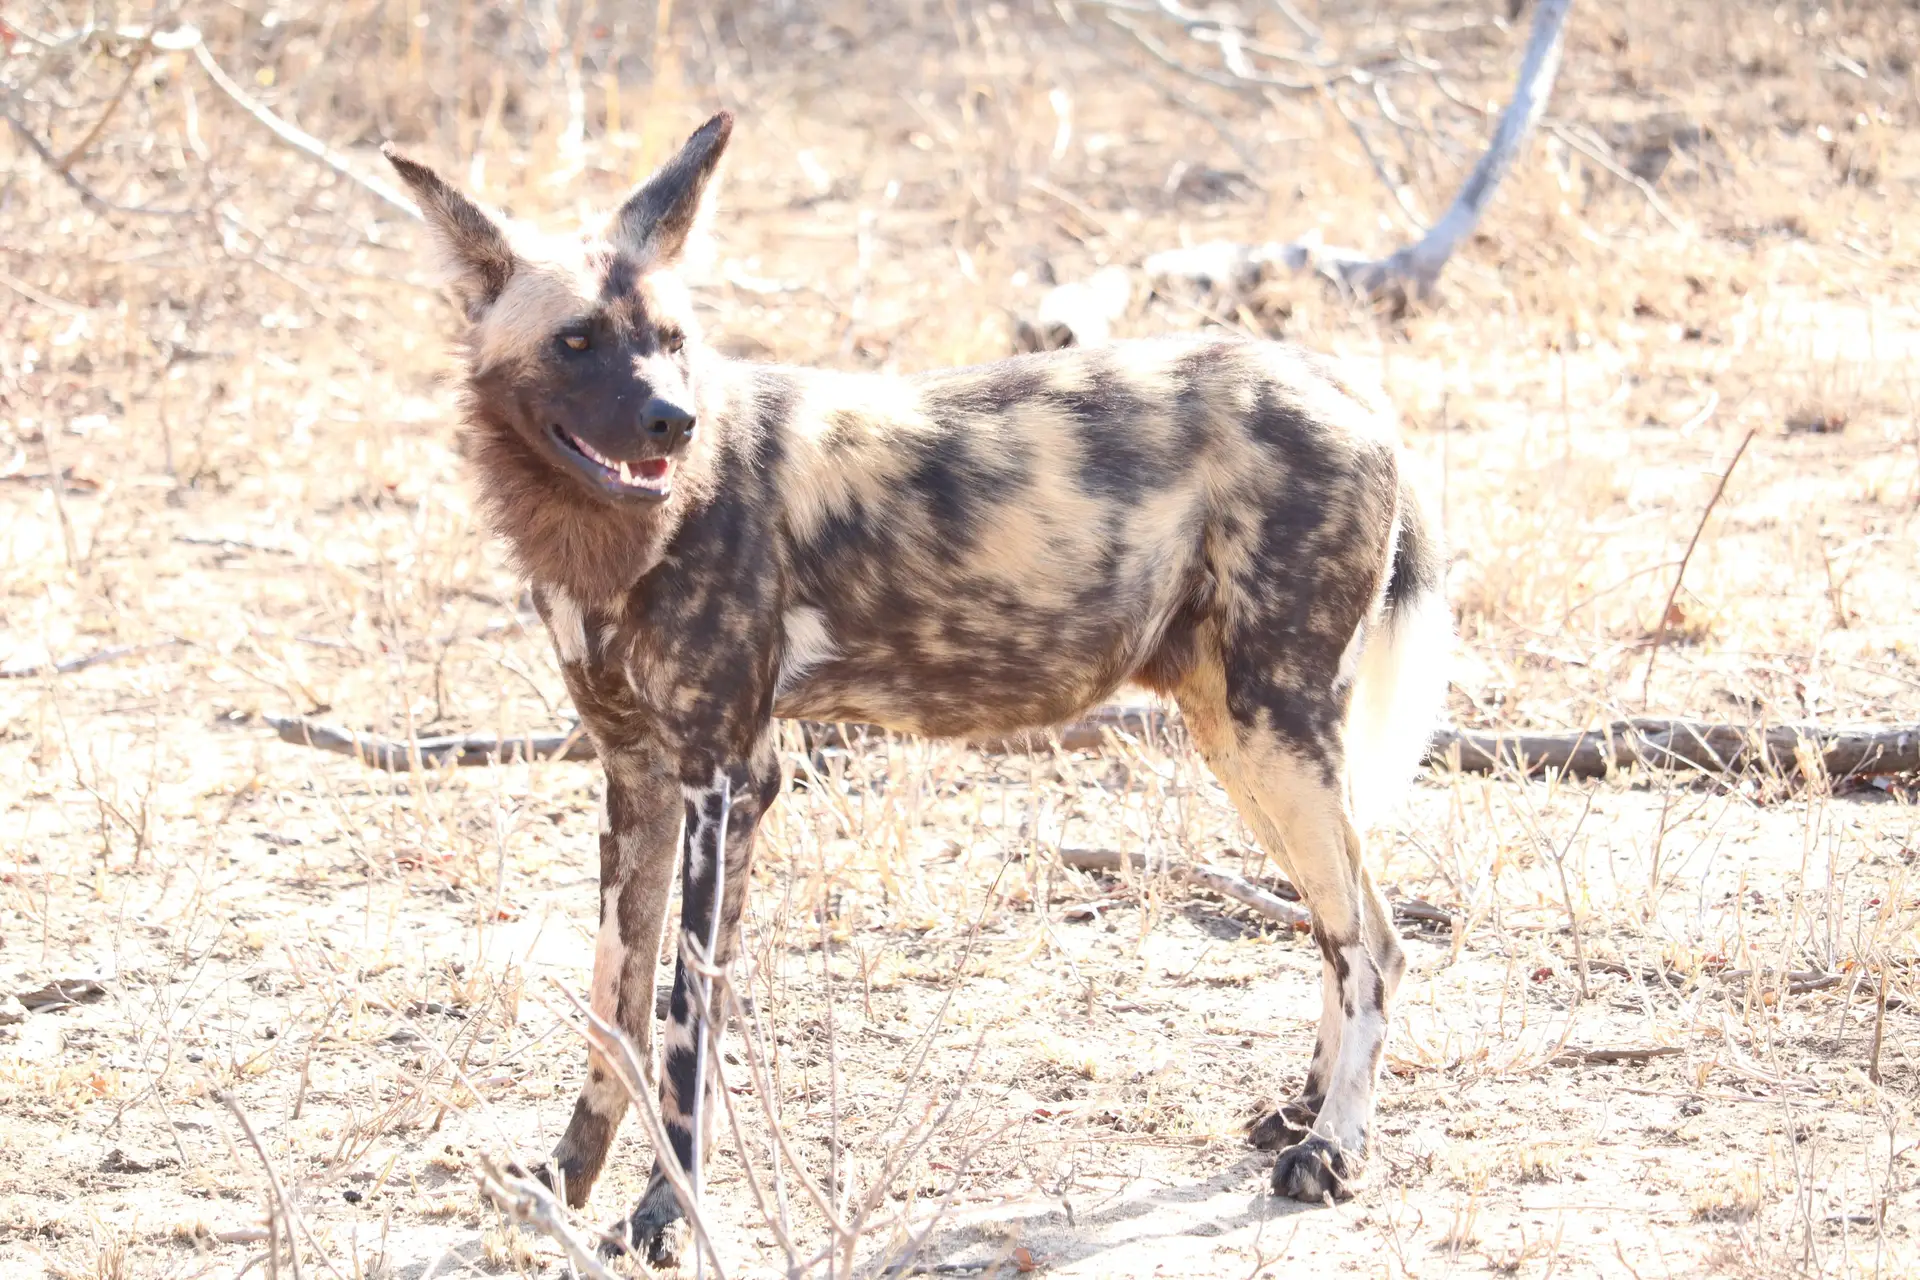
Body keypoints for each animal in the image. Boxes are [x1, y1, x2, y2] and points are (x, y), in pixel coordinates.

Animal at [382, 112, 1443, 1258]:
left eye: (670, 339)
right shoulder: (640, 781)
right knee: (1344, 928)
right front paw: (567, 1178)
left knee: (1372, 941)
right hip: (1241, 737)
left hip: (1273, 732)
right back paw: (1303, 1106)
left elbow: (683, 1024)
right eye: (578, 340)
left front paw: (668, 1212)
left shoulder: (727, 779)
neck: (616, 535)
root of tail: (1344, 383)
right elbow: (613, 1007)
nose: (672, 421)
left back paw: (1333, 1149)